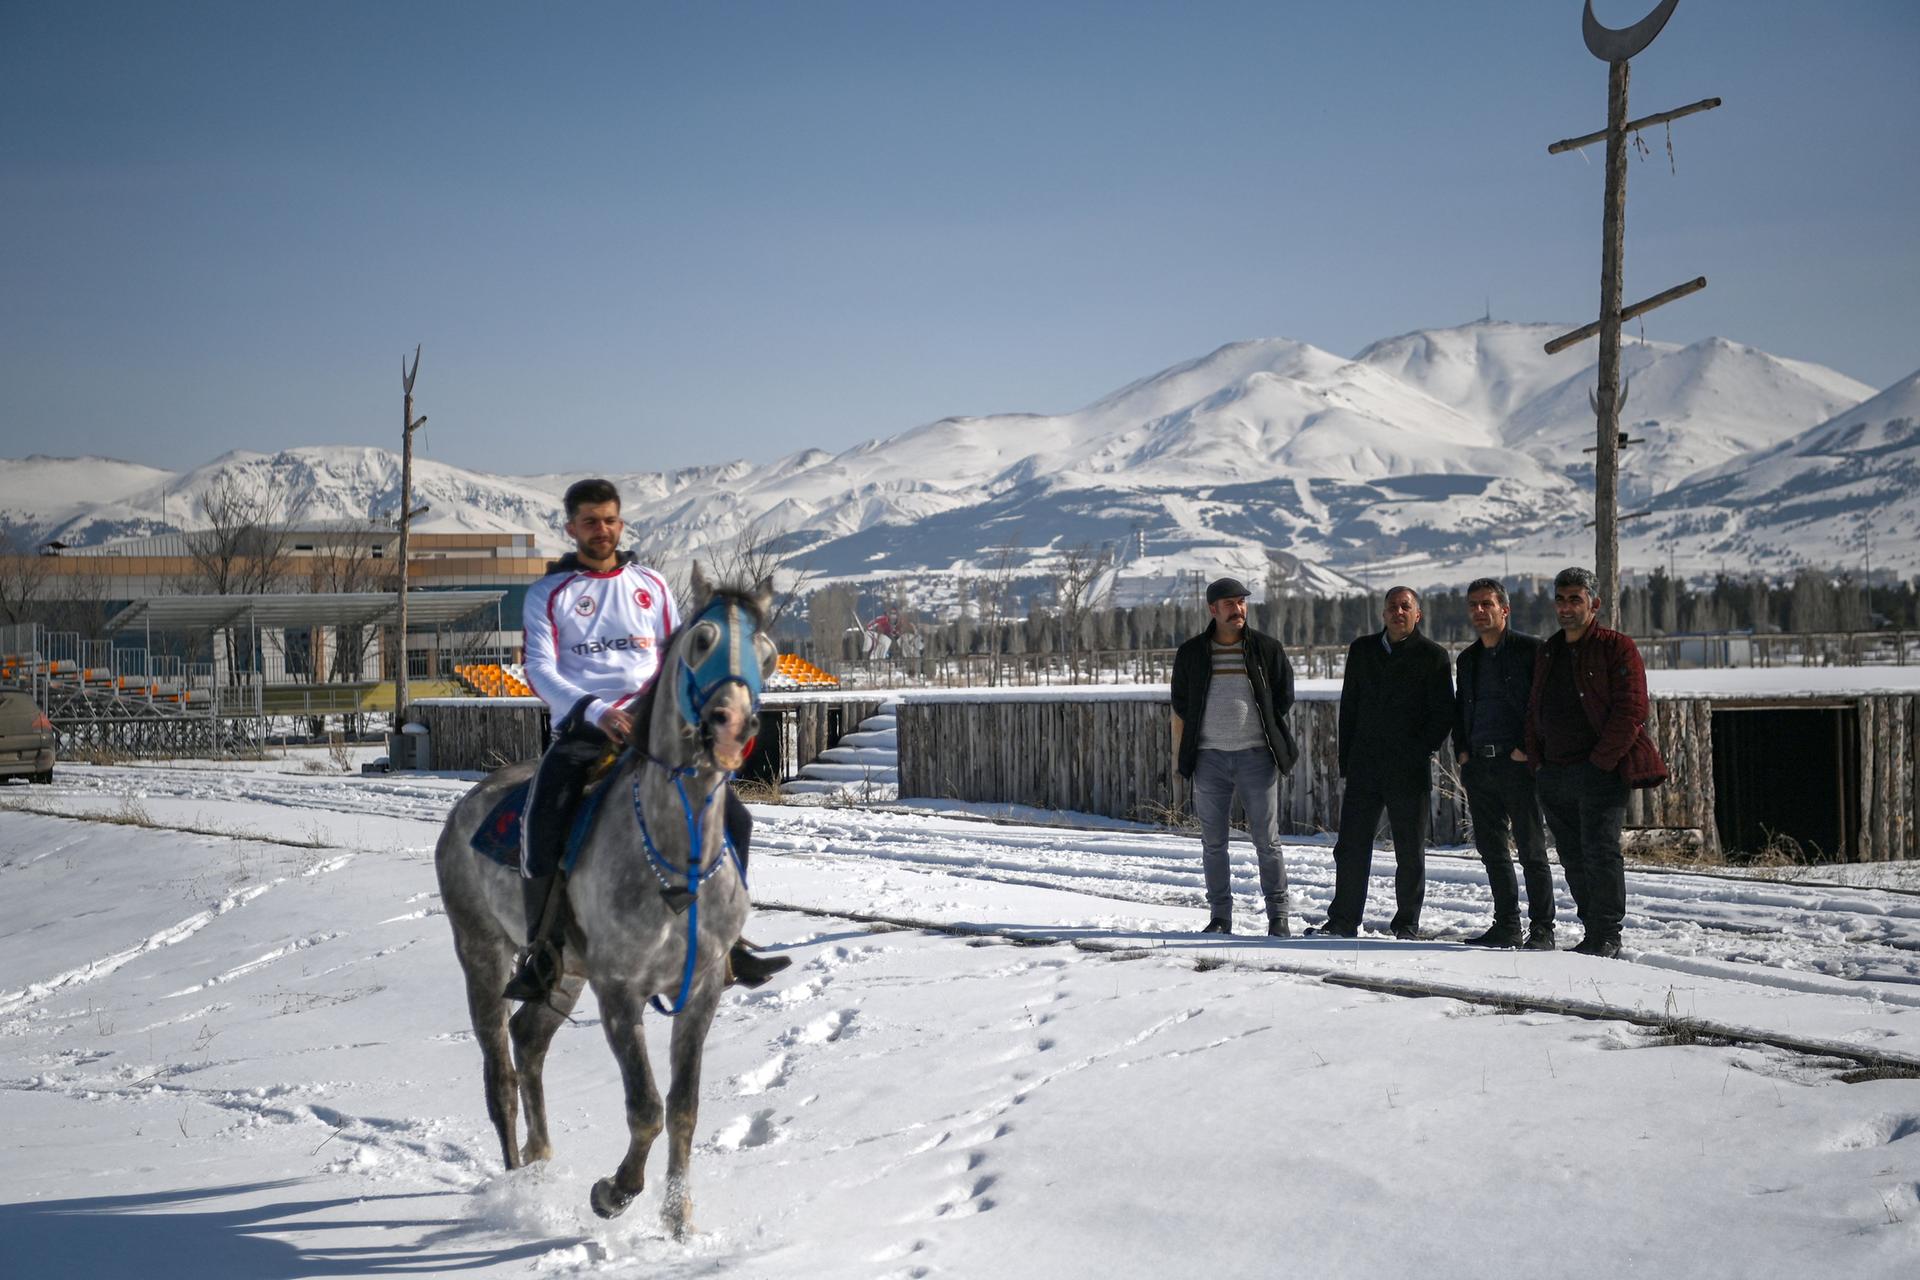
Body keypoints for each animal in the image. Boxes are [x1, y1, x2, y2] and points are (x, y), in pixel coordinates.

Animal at [439, 571, 779, 1228]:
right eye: (701, 640)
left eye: (770, 654)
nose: (732, 726)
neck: (675, 861)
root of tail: (465, 806)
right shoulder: (620, 991)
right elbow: (645, 1106)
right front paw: (614, 1192)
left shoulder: (700, 991)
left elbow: (683, 1107)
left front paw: (678, 1220)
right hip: (479, 952)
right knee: (500, 1075)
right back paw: (516, 1186)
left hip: (565, 972)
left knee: (528, 1039)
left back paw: (540, 1158)